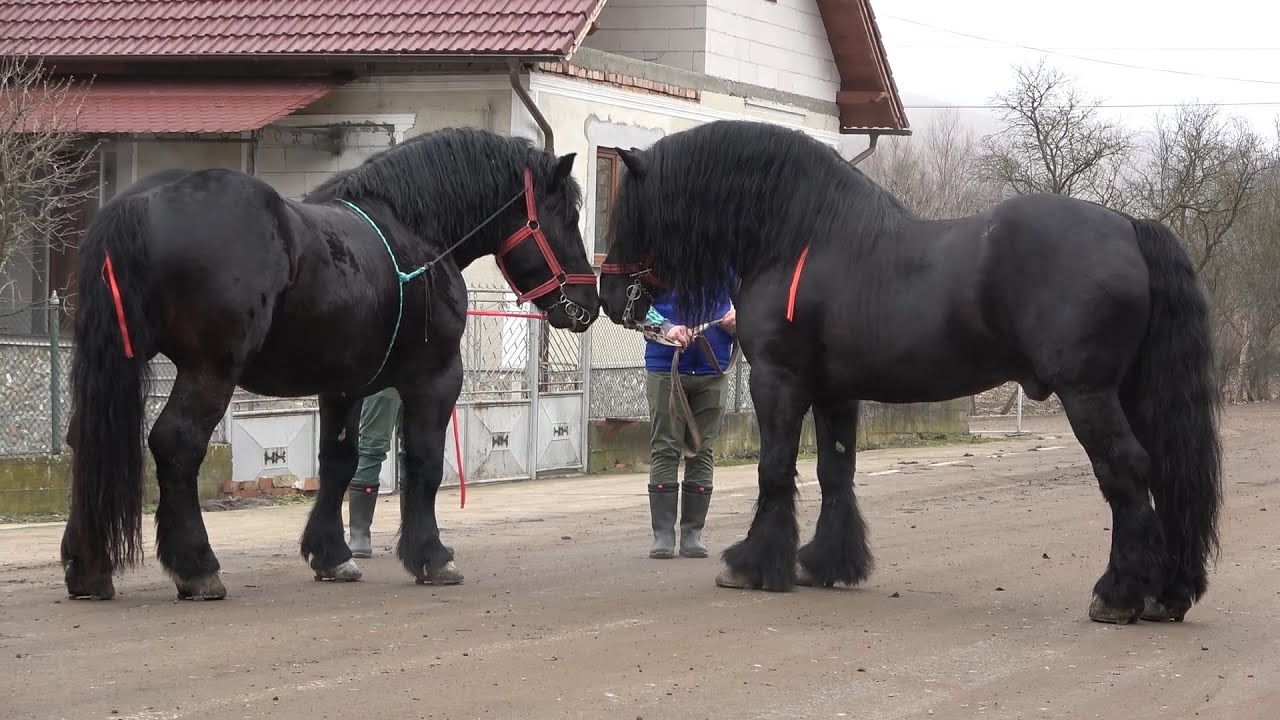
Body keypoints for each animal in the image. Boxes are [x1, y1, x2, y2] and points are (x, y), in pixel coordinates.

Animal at [61, 126, 600, 602]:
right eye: (566, 214)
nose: (587, 304)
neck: (414, 233)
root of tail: (137, 204)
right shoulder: (435, 379)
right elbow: (424, 464)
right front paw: (431, 556)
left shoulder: (344, 387)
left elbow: (338, 462)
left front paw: (331, 554)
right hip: (210, 371)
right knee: (177, 445)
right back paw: (197, 568)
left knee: (85, 440)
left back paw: (87, 568)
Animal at [598, 119, 1222, 625]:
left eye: (628, 210)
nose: (610, 298)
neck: (802, 235)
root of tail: (1129, 226)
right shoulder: (835, 394)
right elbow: (834, 473)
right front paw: (826, 563)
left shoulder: (778, 379)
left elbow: (774, 469)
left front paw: (751, 565)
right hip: (1133, 392)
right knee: (1164, 469)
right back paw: (1166, 595)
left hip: (1088, 393)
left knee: (1126, 470)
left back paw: (1118, 596)